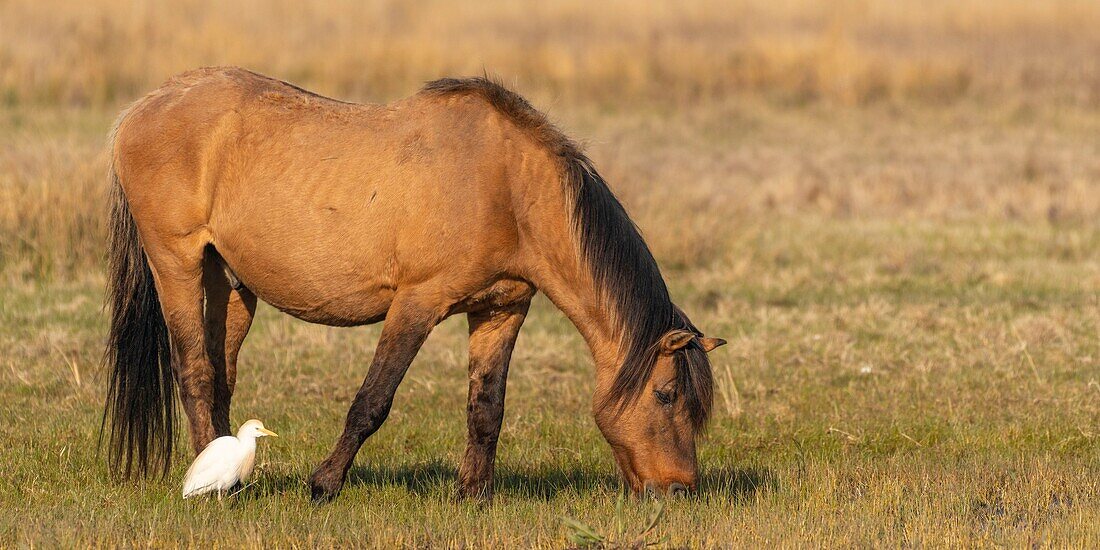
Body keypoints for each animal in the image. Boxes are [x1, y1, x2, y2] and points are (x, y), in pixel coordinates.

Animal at [99, 66, 726, 501]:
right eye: (667, 395)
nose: (679, 490)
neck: (507, 188)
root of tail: (137, 112)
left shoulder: (501, 310)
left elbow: (486, 407)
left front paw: (474, 495)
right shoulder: (417, 303)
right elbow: (372, 401)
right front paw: (324, 485)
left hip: (230, 284)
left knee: (221, 377)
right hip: (177, 264)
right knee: (196, 375)